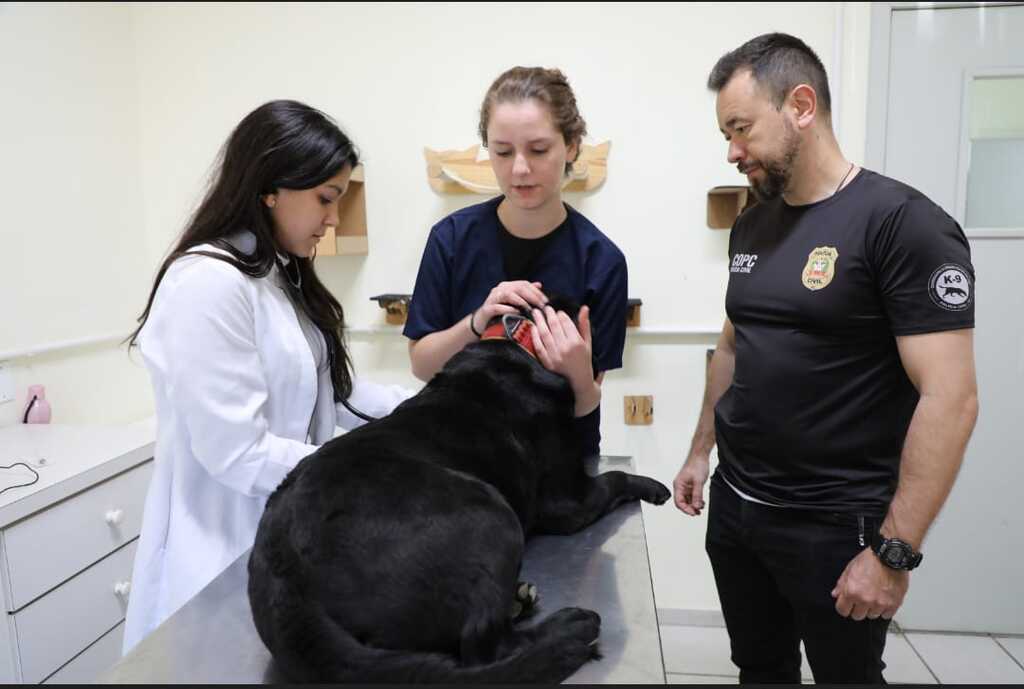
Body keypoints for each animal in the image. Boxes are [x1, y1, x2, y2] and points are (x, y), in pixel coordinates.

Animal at [243, 298, 667, 679]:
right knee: (485, 648)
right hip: (492, 514)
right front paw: (653, 486)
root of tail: (285, 575)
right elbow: (615, 477)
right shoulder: (569, 500)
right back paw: (567, 630)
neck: (517, 341)